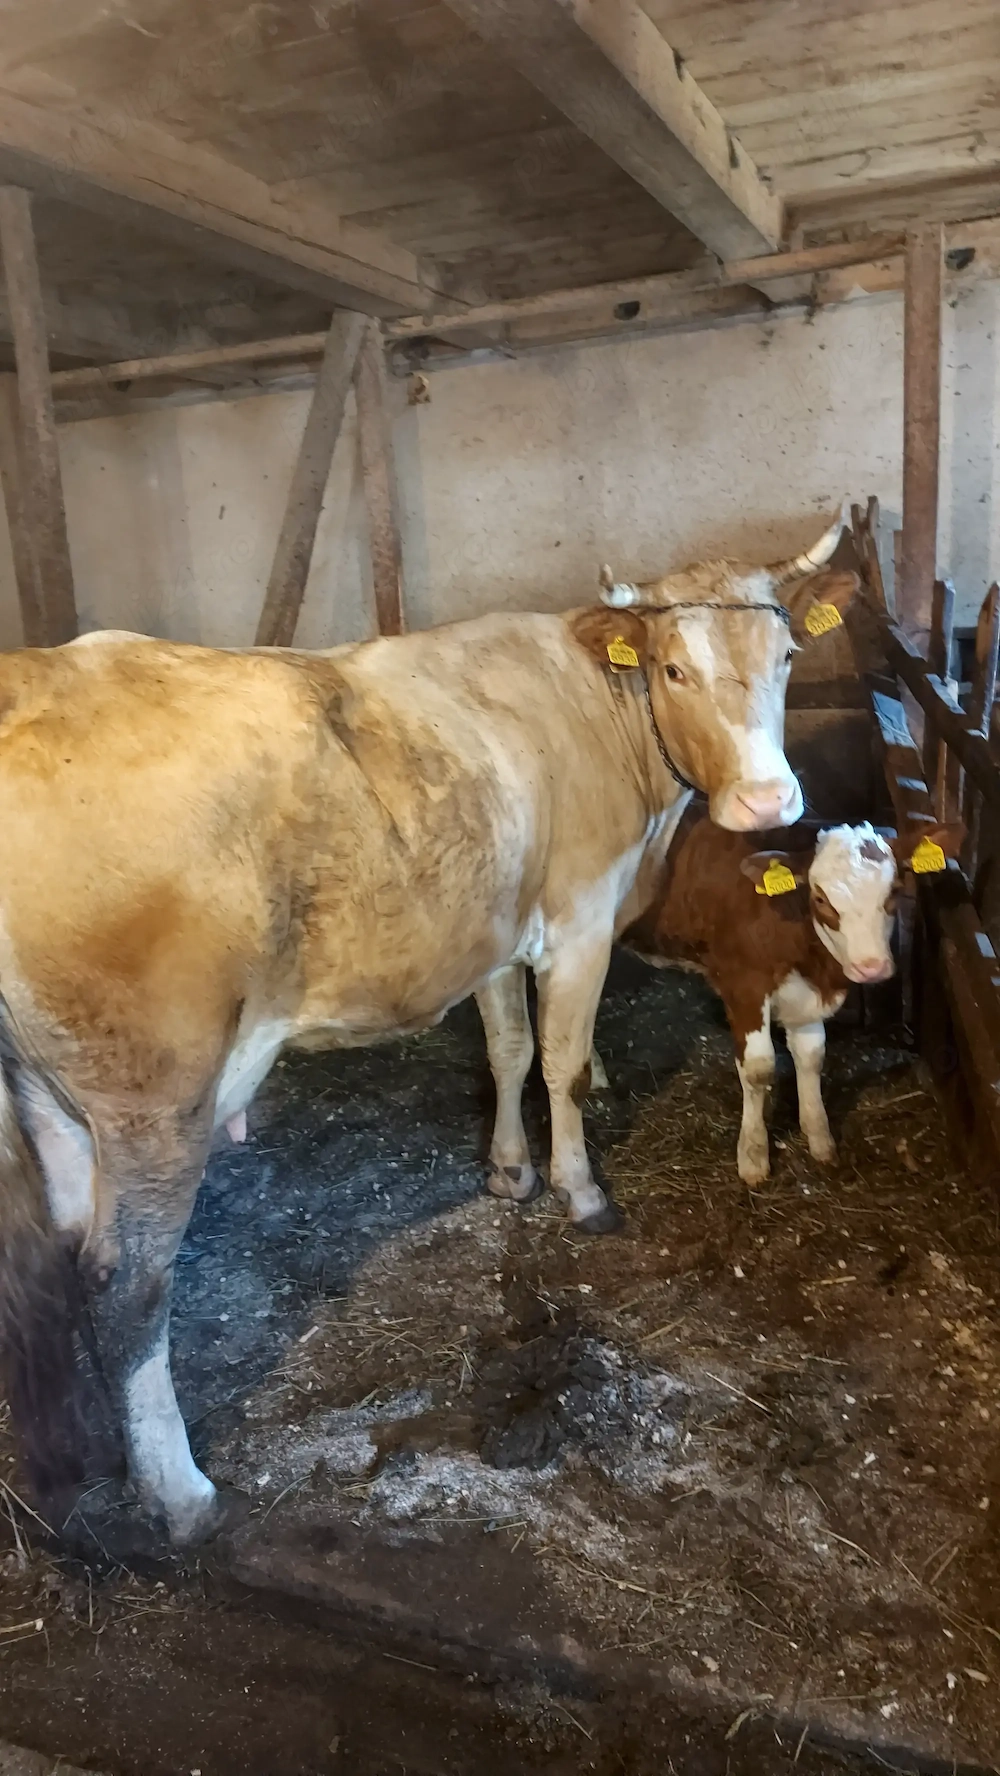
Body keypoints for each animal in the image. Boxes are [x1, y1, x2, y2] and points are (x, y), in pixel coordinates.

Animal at [0, 511, 854, 1544]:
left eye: (786, 657)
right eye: (675, 668)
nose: (771, 803)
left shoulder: (493, 929)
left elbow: (509, 1050)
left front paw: (509, 1171)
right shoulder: (579, 920)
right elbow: (564, 1063)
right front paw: (578, 1190)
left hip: (46, 1094)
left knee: (62, 1258)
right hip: (153, 1095)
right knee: (126, 1282)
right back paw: (181, 1495)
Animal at [588, 807, 962, 1183]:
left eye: (894, 891)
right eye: (821, 899)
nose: (871, 967)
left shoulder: (806, 994)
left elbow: (811, 1057)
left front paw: (819, 1138)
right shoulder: (744, 985)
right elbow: (758, 1069)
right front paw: (753, 1156)